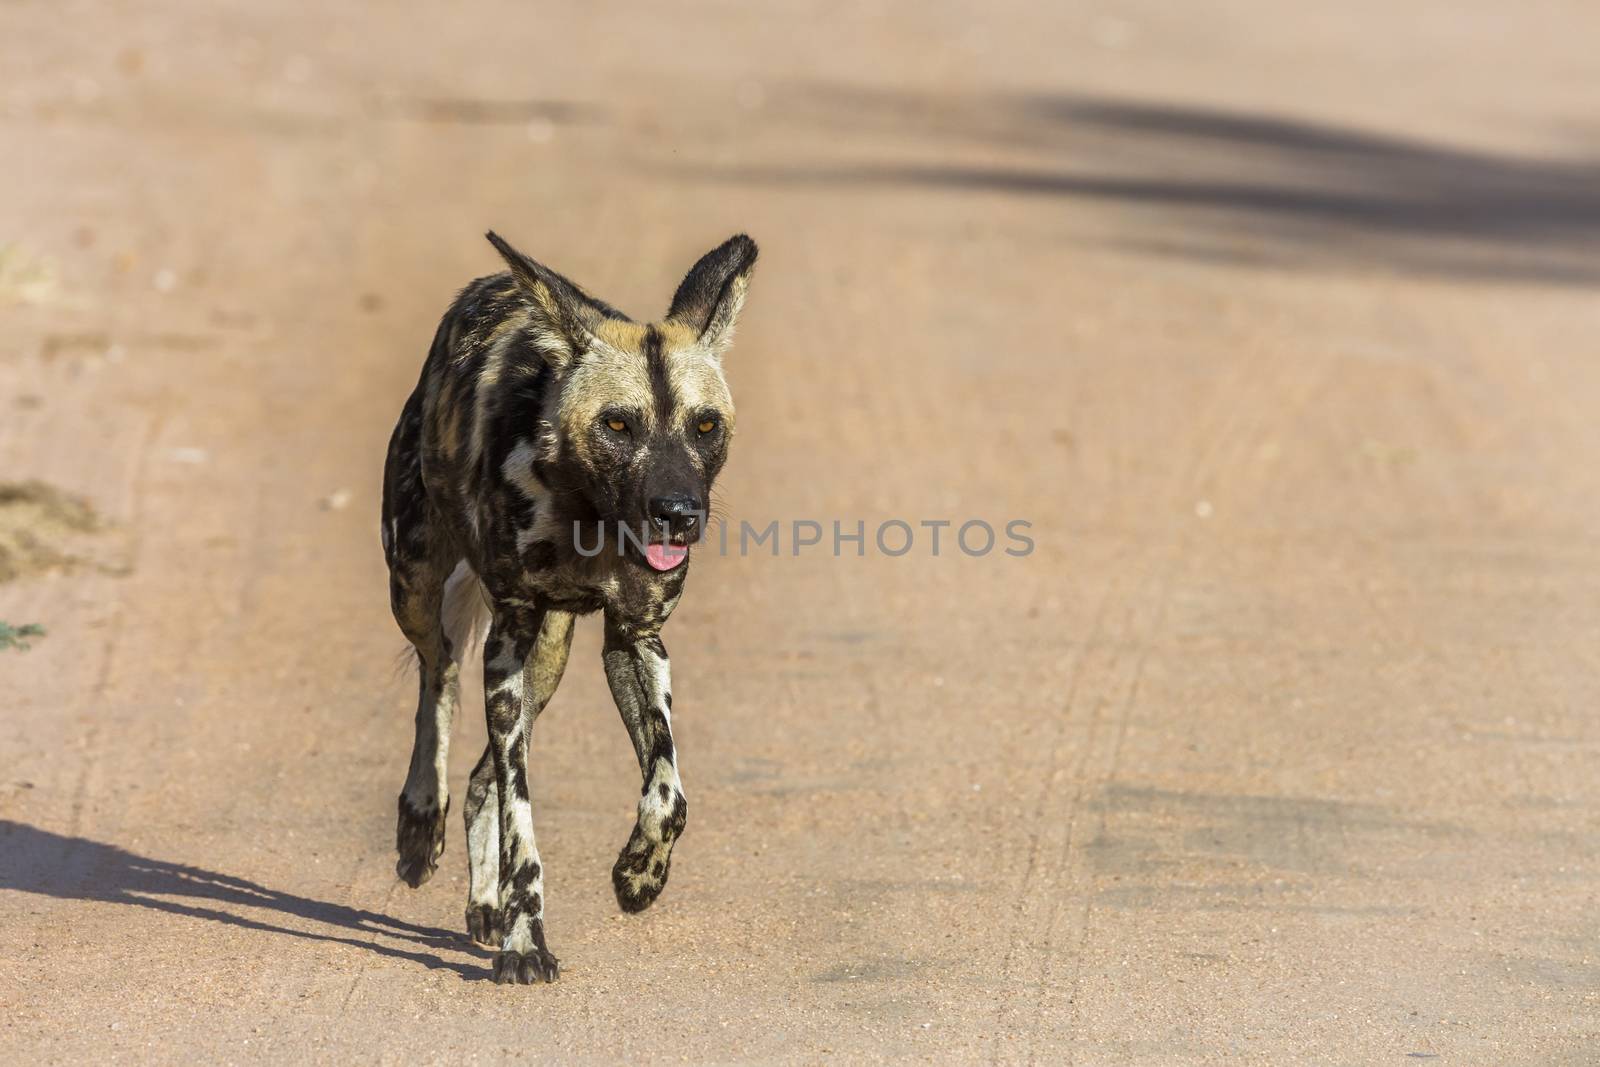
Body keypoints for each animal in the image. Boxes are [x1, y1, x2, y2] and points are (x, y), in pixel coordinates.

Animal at [385, 231, 761, 985]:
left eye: (705, 425)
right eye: (618, 424)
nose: (679, 514)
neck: (590, 515)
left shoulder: (635, 639)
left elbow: (669, 791)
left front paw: (640, 874)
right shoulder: (504, 644)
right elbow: (523, 826)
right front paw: (526, 944)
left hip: (548, 663)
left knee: (481, 777)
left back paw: (482, 900)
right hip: (416, 586)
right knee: (438, 679)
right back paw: (420, 822)